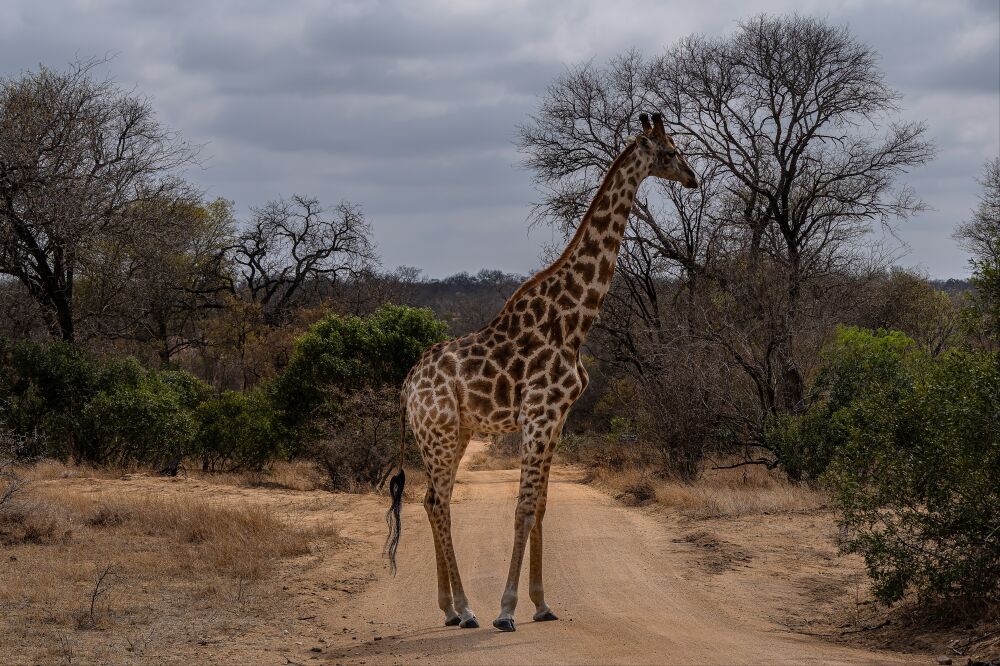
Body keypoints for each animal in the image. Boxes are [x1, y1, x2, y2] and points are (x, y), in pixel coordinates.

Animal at [382, 113, 696, 628]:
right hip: (439, 432)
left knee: (432, 500)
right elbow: (523, 508)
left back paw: (451, 609)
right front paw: (507, 609)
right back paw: (468, 609)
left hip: (456, 432)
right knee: (440, 503)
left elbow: (543, 507)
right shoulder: (539, 415)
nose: (692, 178)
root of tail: (407, 386)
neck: (573, 321)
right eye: (670, 152)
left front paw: (542, 604)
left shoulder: (558, 420)